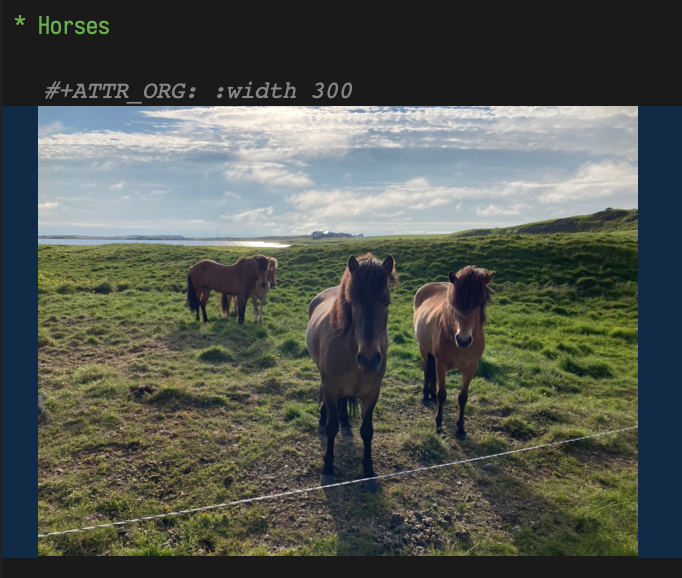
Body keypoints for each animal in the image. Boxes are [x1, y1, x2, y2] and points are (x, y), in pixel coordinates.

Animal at [304, 252, 396, 490]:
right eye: (352, 303)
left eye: (387, 301)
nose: (369, 360)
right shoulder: (331, 388)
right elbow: (331, 427)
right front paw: (328, 469)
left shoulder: (373, 393)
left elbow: (367, 430)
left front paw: (369, 471)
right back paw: (324, 419)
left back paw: (346, 422)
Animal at [412, 266, 492, 436]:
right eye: (454, 304)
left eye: (478, 303)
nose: (463, 340)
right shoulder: (441, 365)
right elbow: (442, 394)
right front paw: (438, 425)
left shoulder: (471, 369)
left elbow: (463, 397)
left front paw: (461, 428)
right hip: (423, 348)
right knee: (425, 367)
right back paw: (425, 395)